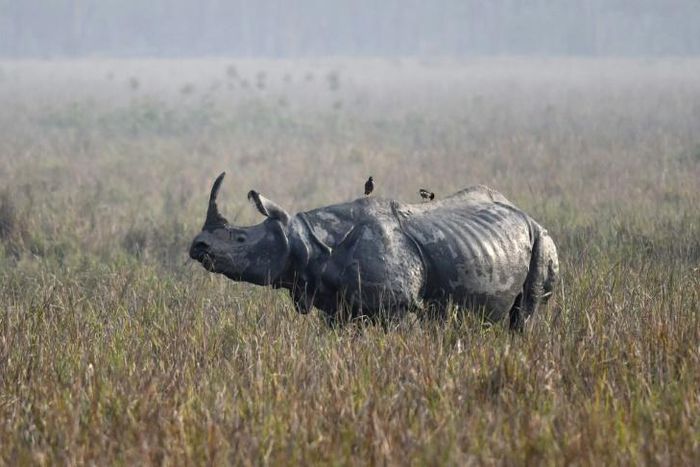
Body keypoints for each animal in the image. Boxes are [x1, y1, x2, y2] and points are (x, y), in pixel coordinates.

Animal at [189, 173, 559, 331]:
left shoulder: (397, 306)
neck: (303, 241)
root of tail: (526, 214)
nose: (197, 246)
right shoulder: (336, 305)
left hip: (542, 239)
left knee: (526, 312)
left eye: (241, 240)